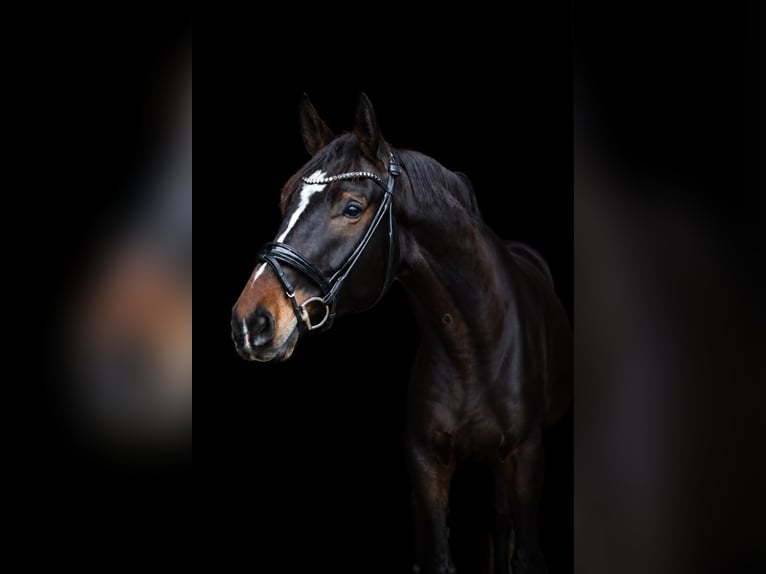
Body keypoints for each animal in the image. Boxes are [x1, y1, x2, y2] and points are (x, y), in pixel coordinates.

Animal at [231, 93, 572, 574]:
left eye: (352, 208)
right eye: (284, 198)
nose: (251, 321)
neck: (473, 350)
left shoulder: (527, 457)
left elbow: (524, 554)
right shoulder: (425, 467)